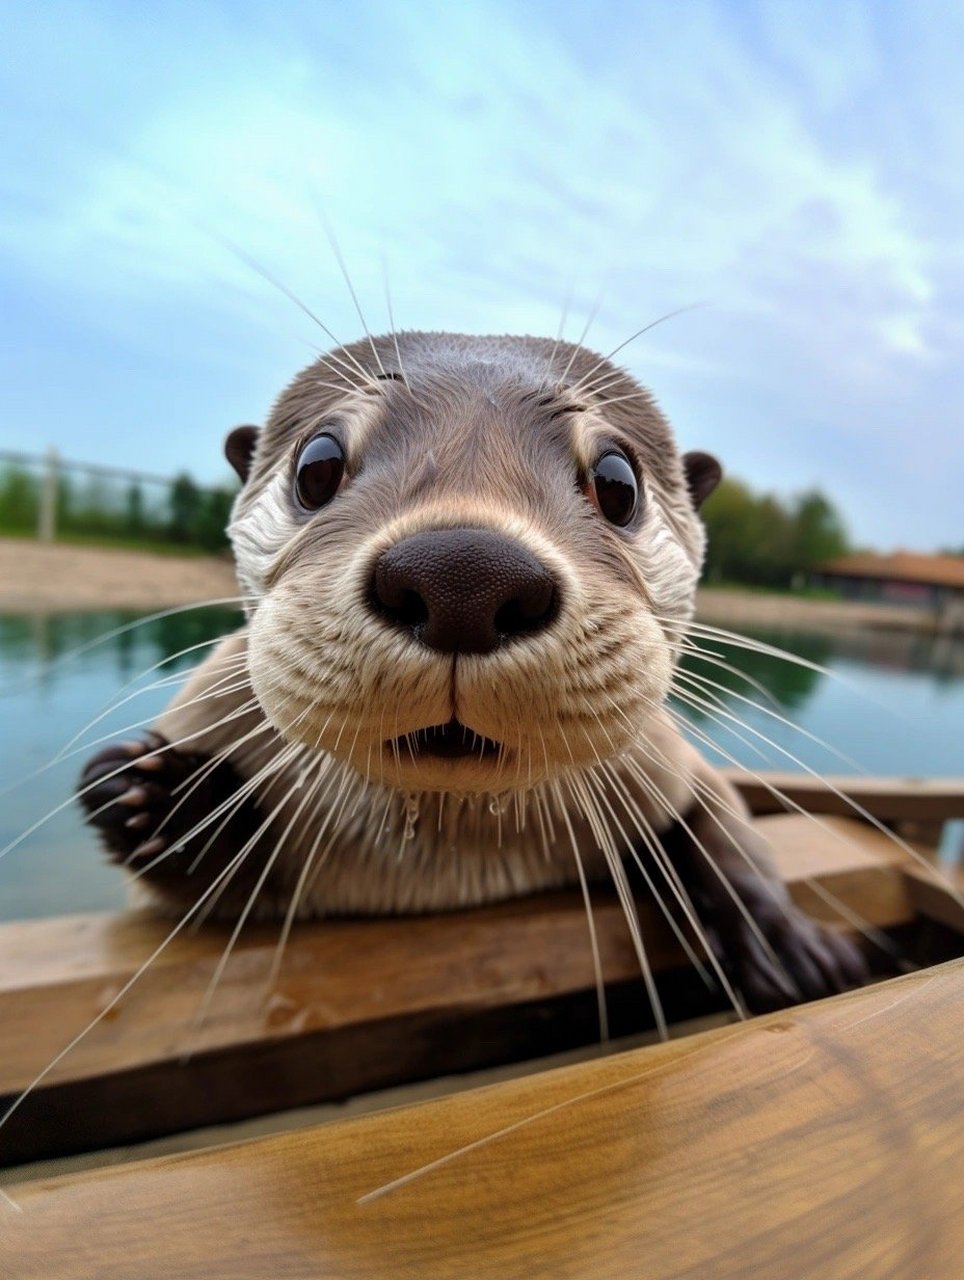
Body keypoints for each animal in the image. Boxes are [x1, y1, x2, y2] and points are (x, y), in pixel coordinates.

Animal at [77, 330, 865, 1008]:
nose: (464, 575)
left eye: (618, 481)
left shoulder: (665, 761)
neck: (446, 871)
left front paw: (781, 940)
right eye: (316, 463)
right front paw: (160, 798)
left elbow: (725, 823)